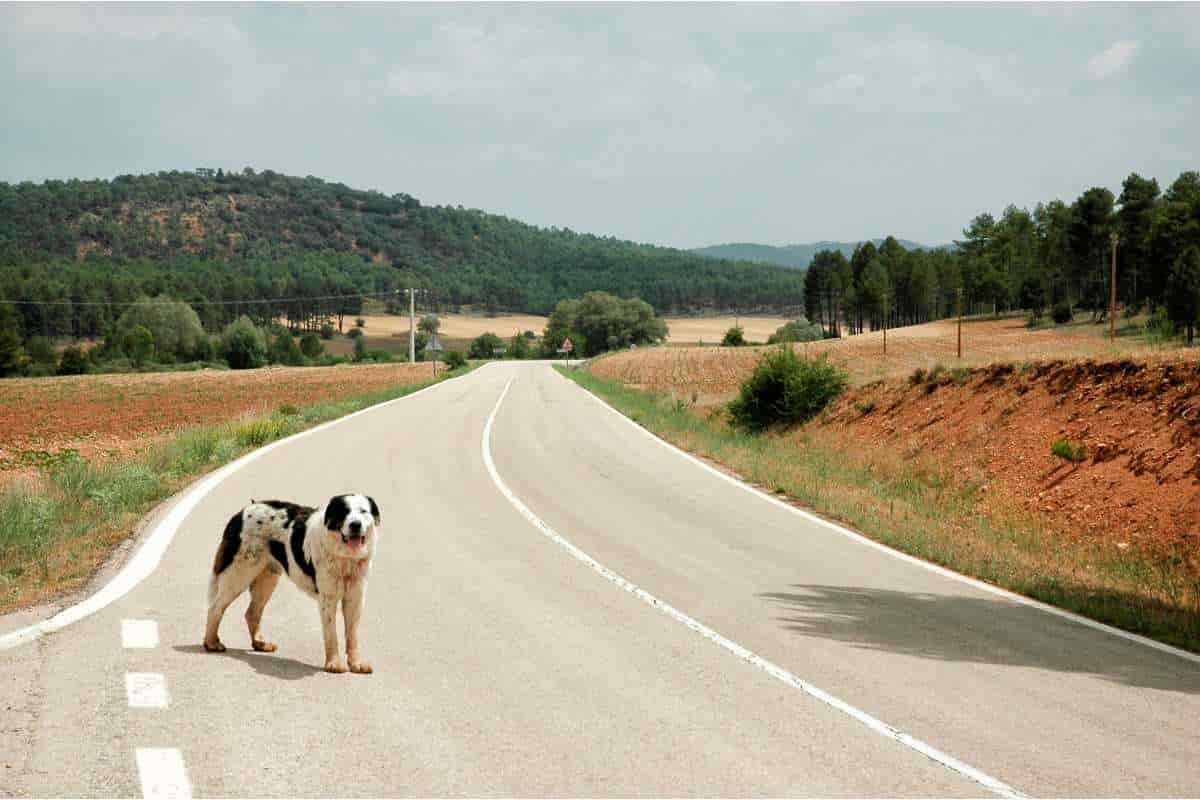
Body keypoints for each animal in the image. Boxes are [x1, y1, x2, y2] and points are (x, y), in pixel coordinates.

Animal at [201, 494, 379, 676]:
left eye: (363, 511)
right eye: (344, 512)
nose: (355, 524)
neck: (346, 557)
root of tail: (241, 512)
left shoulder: (355, 598)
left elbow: (352, 635)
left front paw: (356, 664)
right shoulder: (327, 598)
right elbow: (331, 635)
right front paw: (334, 664)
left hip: (267, 578)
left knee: (251, 612)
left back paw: (260, 644)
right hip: (239, 574)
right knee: (215, 608)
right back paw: (212, 643)